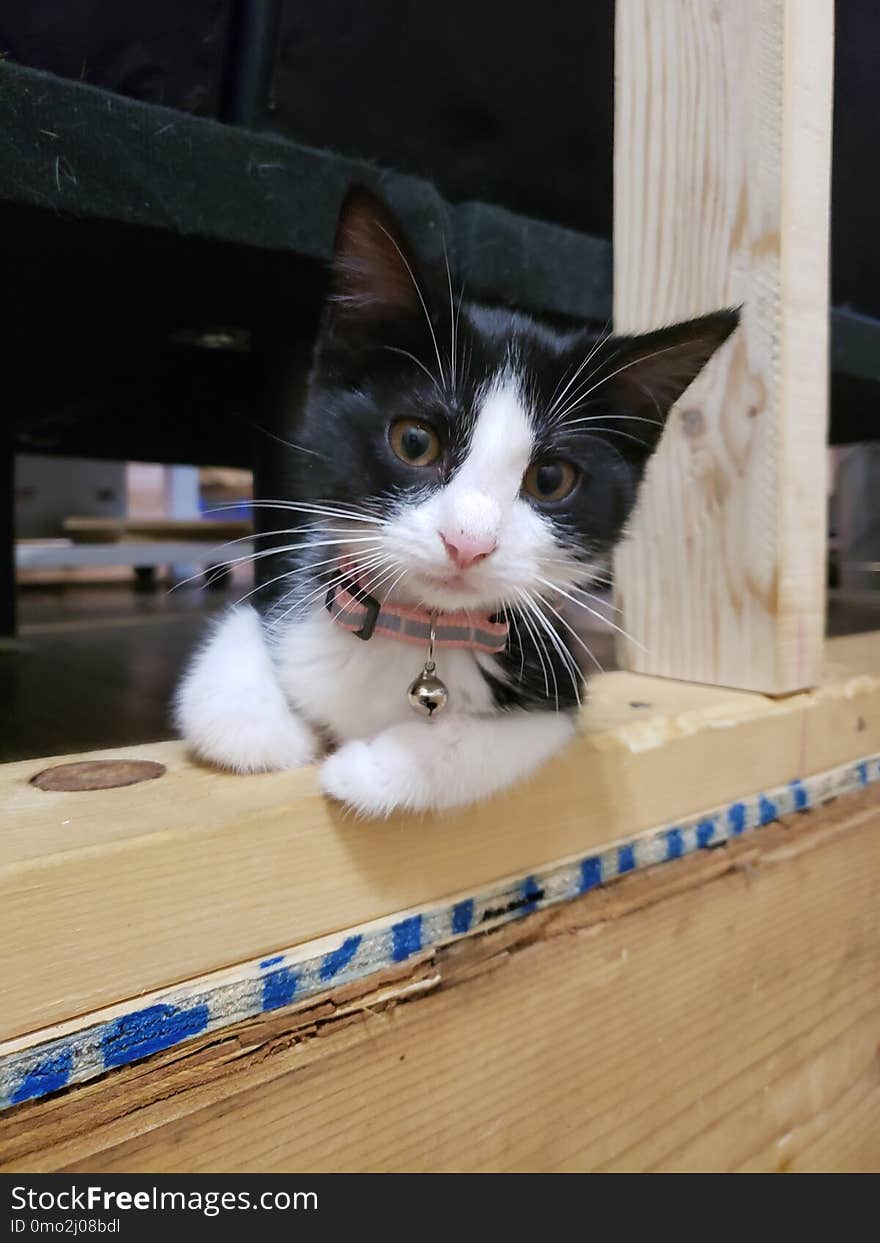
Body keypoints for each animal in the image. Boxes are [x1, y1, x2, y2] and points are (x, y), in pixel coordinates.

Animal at [176, 186, 735, 815]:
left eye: (550, 480)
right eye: (415, 442)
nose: (467, 543)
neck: (422, 632)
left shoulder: (556, 684)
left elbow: (507, 738)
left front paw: (371, 767)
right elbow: (229, 659)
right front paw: (272, 734)